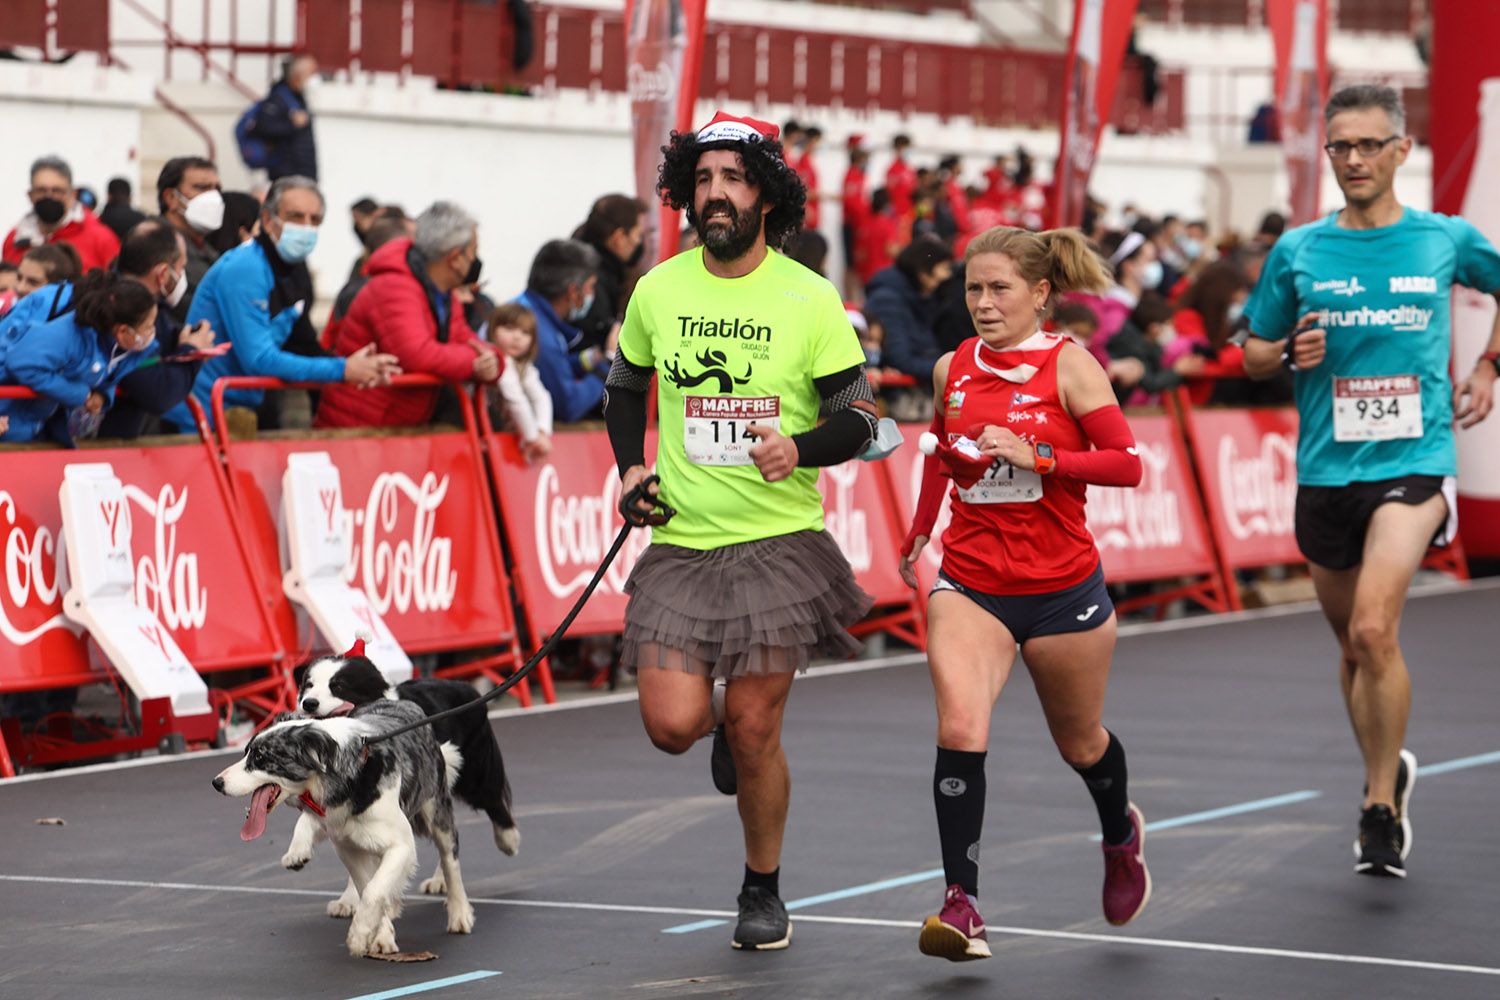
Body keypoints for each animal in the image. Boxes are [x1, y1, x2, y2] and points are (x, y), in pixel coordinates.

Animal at [211, 701, 474, 959]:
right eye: (247, 752)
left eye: (260, 757)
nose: (216, 783)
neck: (346, 778)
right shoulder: (347, 845)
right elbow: (367, 885)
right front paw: (380, 934)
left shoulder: (401, 844)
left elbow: (374, 890)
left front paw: (359, 935)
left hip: (437, 811)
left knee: (450, 860)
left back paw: (459, 913)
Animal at [295, 653, 525, 905]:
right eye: (309, 685)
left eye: (338, 686)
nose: (308, 703)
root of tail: (466, 686)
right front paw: (348, 899)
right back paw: (440, 880)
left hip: (471, 771)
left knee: (490, 800)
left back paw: (509, 840)